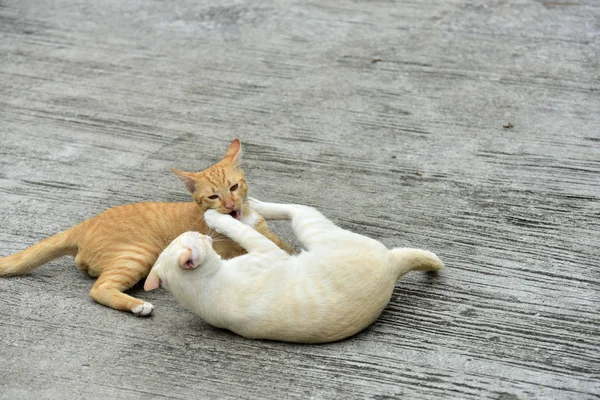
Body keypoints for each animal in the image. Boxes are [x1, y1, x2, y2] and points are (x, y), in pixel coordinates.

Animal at [0, 140, 292, 316]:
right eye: (213, 197)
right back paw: (138, 306)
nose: (231, 204)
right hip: (140, 253)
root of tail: (83, 224)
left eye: (234, 187)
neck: (246, 219)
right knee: (99, 289)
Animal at [145, 198, 442, 342]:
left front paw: (213, 217)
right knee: (299, 209)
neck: (199, 291)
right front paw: (214, 216)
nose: (202, 234)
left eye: (189, 235)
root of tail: (392, 265)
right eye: (198, 239)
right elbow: (238, 229)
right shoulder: (267, 253)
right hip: (312, 229)